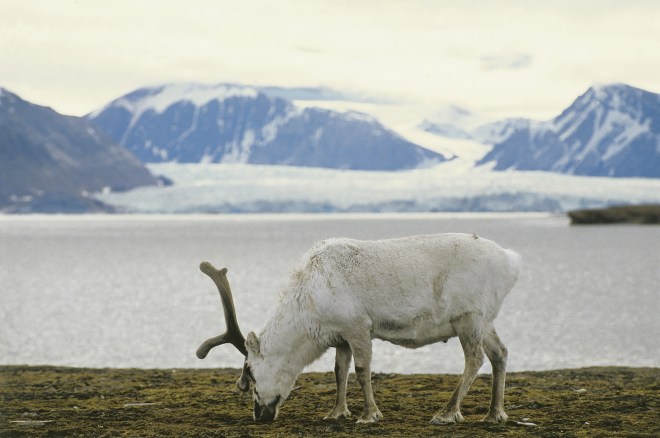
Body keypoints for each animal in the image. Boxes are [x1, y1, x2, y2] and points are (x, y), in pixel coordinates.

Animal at [196, 233, 521, 424]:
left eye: (249, 372)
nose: (258, 416)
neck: (309, 311)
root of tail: (512, 261)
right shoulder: (340, 337)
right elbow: (340, 372)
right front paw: (336, 412)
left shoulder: (358, 326)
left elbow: (362, 370)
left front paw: (369, 415)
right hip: (485, 321)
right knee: (501, 352)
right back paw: (495, 414)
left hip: (469, 318)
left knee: (475, 359)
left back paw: (447, 413)